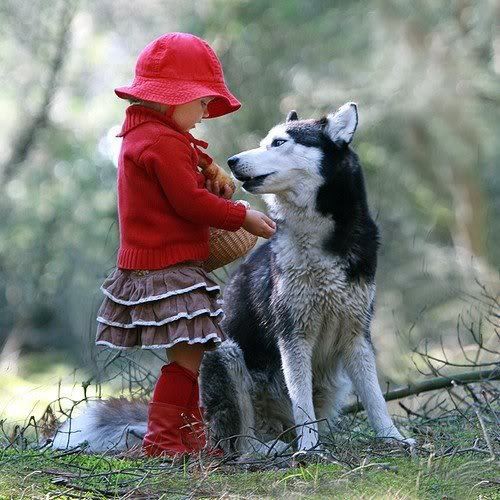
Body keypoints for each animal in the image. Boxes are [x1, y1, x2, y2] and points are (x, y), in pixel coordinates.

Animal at [51, 104, 414, 454]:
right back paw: (269, 447)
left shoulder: (356, 334)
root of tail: (195, 428)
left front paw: (393, 438)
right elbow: (302, 404)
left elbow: (375, 398)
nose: (232, 160)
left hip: (332, 383)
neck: (318, 239)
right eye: (265, 140)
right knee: (237, 441)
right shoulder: (292, 335)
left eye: (278, 142)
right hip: (226, 355)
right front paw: (309, 447)